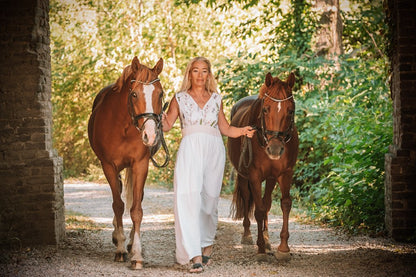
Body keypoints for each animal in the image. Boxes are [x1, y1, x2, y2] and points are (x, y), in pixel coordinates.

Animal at [88, 57, 167, 268]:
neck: (122, 125)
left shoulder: (140, 164)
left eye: (160, 94)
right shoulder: (108, 166)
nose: (150, 135)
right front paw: (120, 248)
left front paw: (136, 253)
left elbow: (136, 209)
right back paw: (119, 238)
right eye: (134, 94)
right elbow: (118, 205)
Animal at [228, 71, 300, 258]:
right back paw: (247, 235)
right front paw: (260, 248)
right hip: (243, 175)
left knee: (266, 203)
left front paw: (283, 248)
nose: (274, 149)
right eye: (266, 109)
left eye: (290, 110)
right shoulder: (254, 175)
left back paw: (267, 239)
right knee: (247, 199)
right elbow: (258, 210)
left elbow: (284, 204)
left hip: (270, 178)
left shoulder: (284, 173)